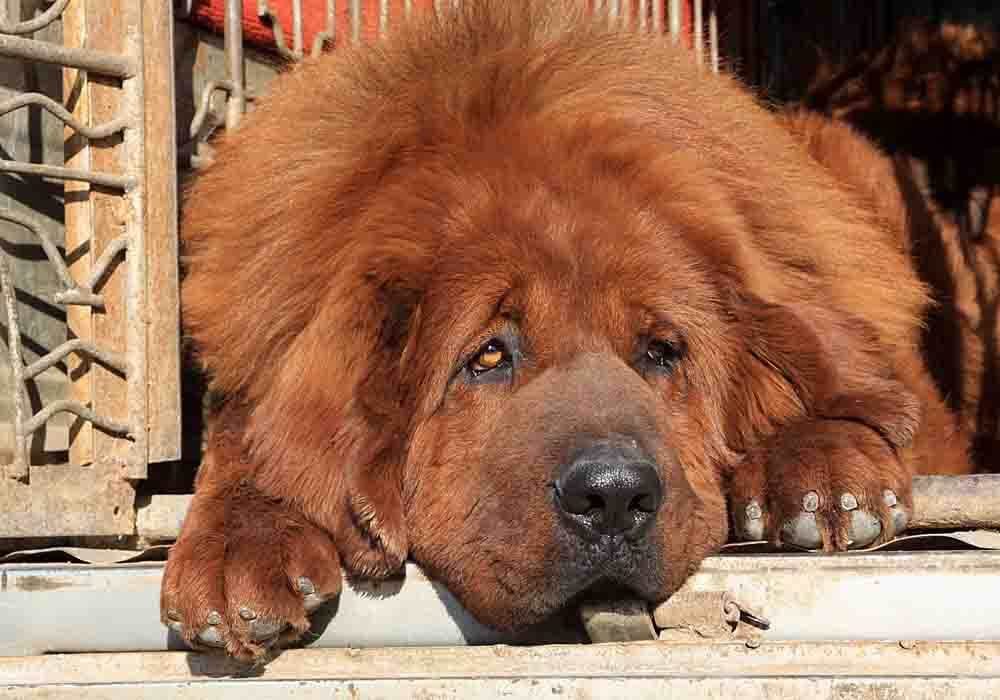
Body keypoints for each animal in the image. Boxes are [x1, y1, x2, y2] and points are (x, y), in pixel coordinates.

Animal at [164, 0, 976, 660]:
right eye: (488, 355)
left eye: (661, 352)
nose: (613, 497)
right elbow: (251, 436)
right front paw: (242, 540)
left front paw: (821, 469)